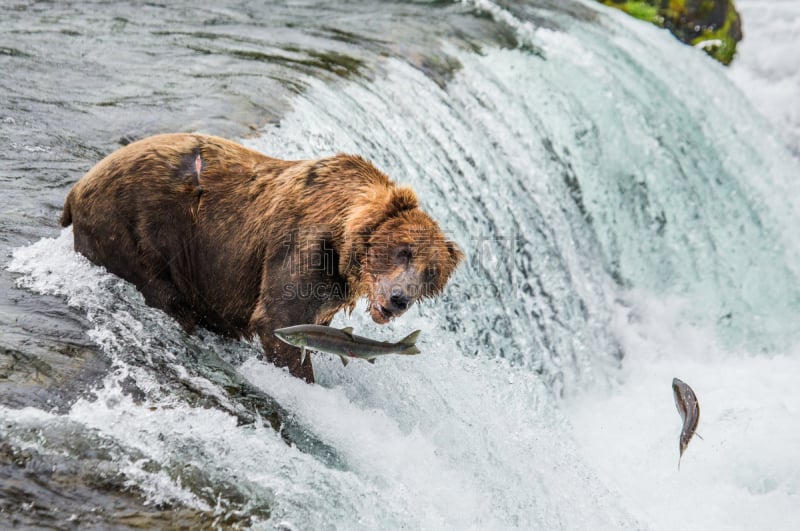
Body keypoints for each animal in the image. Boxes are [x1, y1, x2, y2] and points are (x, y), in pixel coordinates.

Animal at [59, 133, 462, 382]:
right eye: (404, 251)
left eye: (431, 273)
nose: (399, 299)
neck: (344, 245)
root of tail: (77, 188)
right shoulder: (303, 249)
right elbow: (278, 321)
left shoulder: (330, 289)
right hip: (136, 233)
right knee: (167, 295)